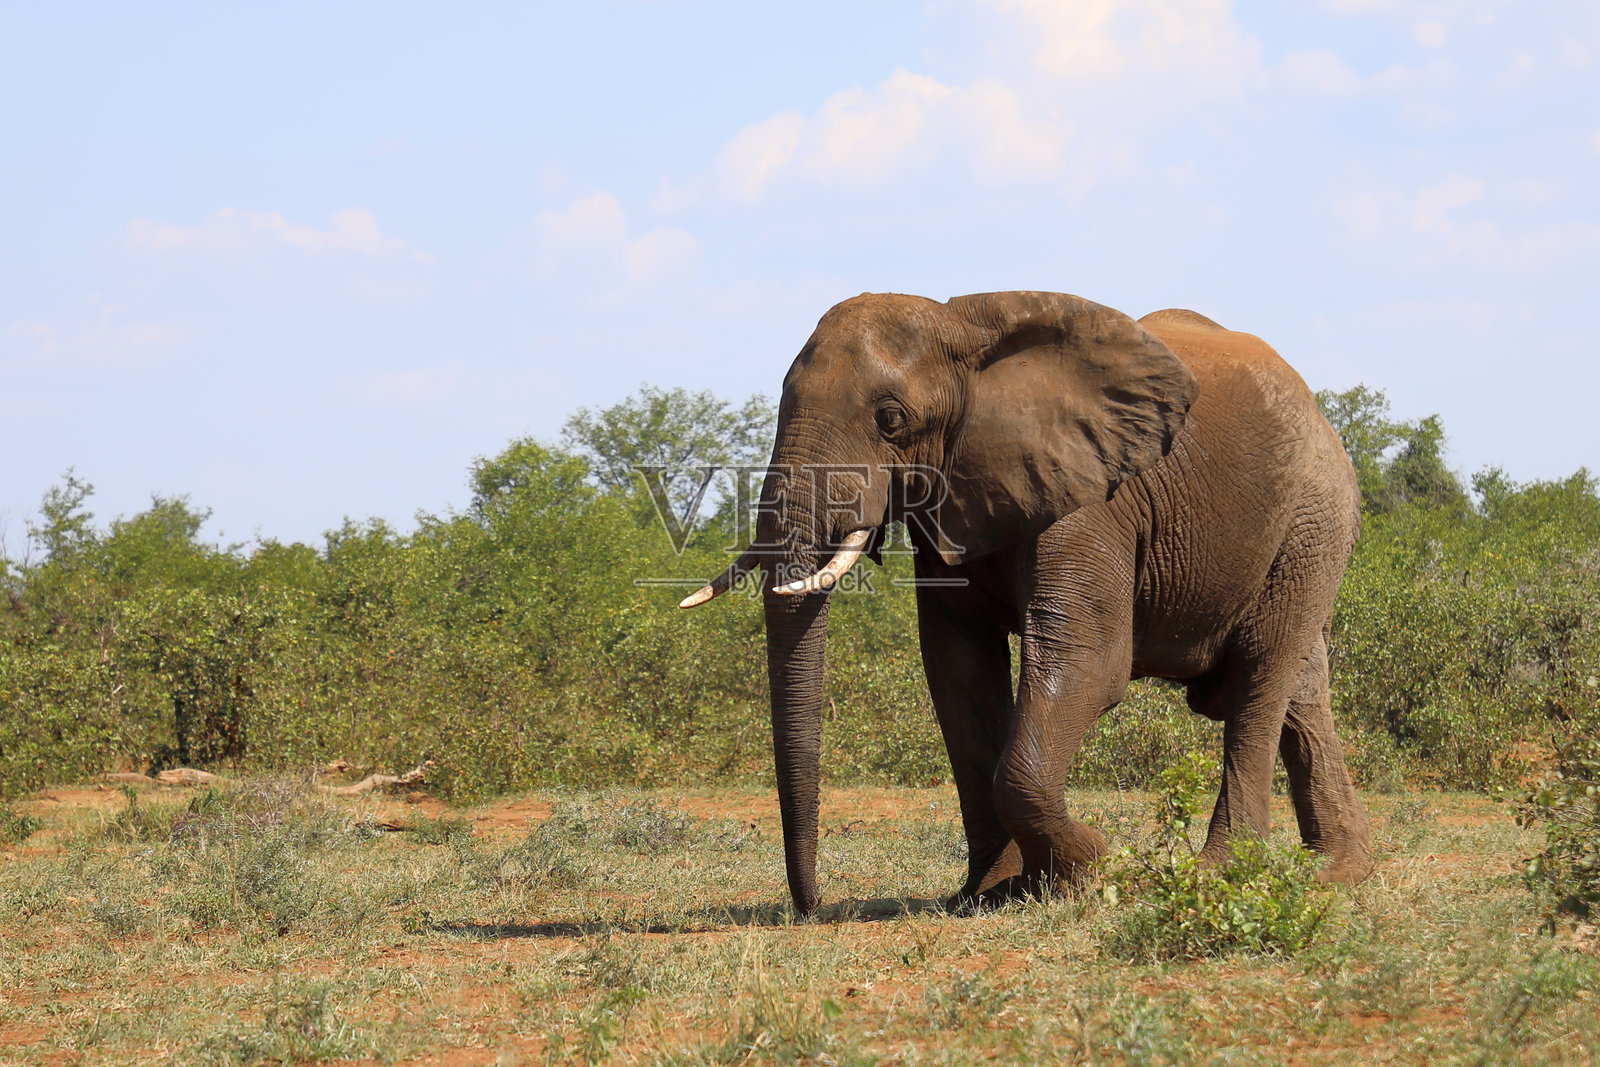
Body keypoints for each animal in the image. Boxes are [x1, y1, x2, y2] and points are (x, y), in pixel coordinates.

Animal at [680, 290, 1373, 916]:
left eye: (890, 419)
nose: (813, 907)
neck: (960, 328)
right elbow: (958, 673)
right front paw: (990, 893)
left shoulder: (1090, 500)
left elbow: (1088, 664)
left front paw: (1092, 869)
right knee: (1300, 692)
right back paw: (1335, 874)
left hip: (1312, 522)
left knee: (1261, 679)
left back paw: (1221, 876)